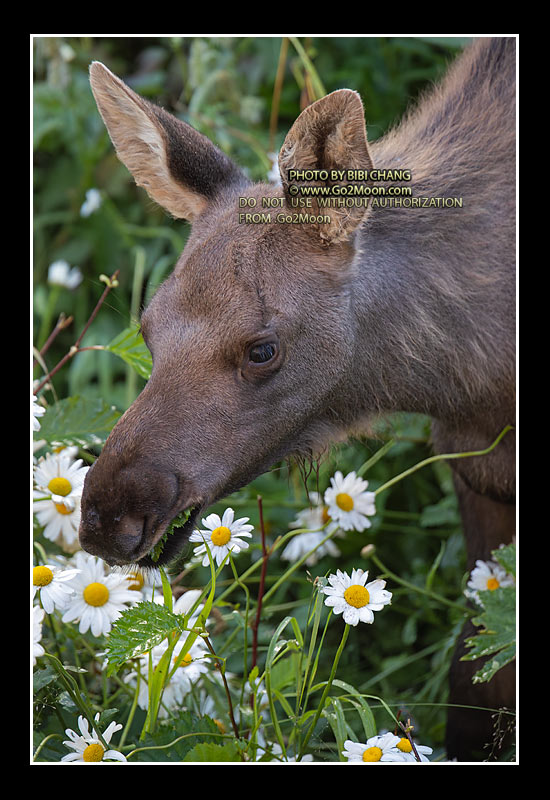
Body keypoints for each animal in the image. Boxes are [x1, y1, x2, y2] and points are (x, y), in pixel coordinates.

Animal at [79, 37, 516, 761]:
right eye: (147, 327)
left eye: (263, 349)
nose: (109, 517)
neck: (480, 378)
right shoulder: (476, 469)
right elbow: (475, 673)